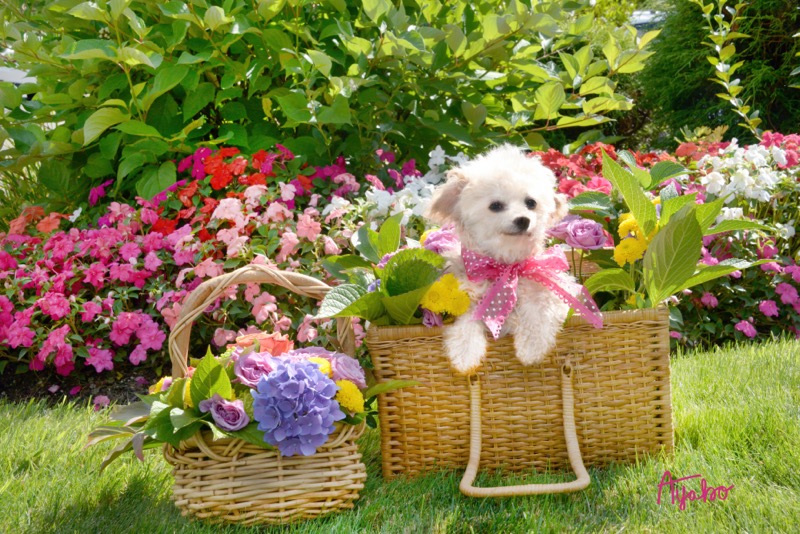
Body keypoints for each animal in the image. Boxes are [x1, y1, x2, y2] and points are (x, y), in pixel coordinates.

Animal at [432, 144, 576, 374]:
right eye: (496, 206)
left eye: (530, 203)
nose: (523, 220)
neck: (507, 266)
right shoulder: (468, 300)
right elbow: (467, 323)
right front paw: (465, 354)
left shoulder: (550, 293)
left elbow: (539, 312)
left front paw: (531, 348)